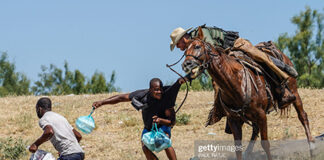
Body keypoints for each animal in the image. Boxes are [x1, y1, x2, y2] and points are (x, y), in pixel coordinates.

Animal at [181, 26, 316, 159]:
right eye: (185, 51)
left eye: (197, 46)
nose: (186, 64)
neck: (236, 83)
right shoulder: (234, 120)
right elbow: (238, 148)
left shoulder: (261, 115)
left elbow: (265, 144)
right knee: (255, 130)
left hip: (294, 91)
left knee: (303, 116)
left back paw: (312, 148)